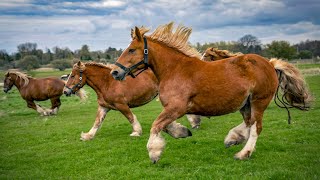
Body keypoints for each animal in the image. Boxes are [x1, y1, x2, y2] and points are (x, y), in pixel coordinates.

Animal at [110, 22, 312, 163]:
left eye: (131, 50)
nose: (115, 72)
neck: (174, 70)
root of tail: (269, 64)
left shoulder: (177, 107)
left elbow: (156, 125)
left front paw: (154, 153)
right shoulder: (173, 108)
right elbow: (165, 125)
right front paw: (182, 132)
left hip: (259, 102)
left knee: (256, 127)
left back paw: (243, 153)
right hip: (245, 104)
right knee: (248, 124)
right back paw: (233, 138)